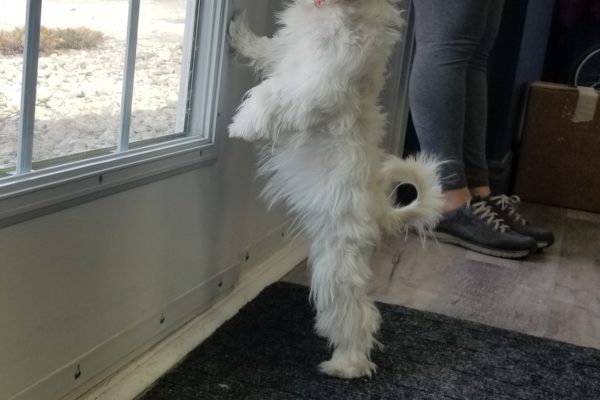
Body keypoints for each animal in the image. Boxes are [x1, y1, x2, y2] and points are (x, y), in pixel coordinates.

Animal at [227, 0, 442, 378]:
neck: (333, 12)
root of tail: (380, 209)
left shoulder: (320, 85)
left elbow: (272, 94)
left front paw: (244, 124)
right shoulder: (287, 53)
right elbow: (266, 52)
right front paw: (240, 33)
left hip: (336, 268)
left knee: (359, 316)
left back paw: (346, 365)